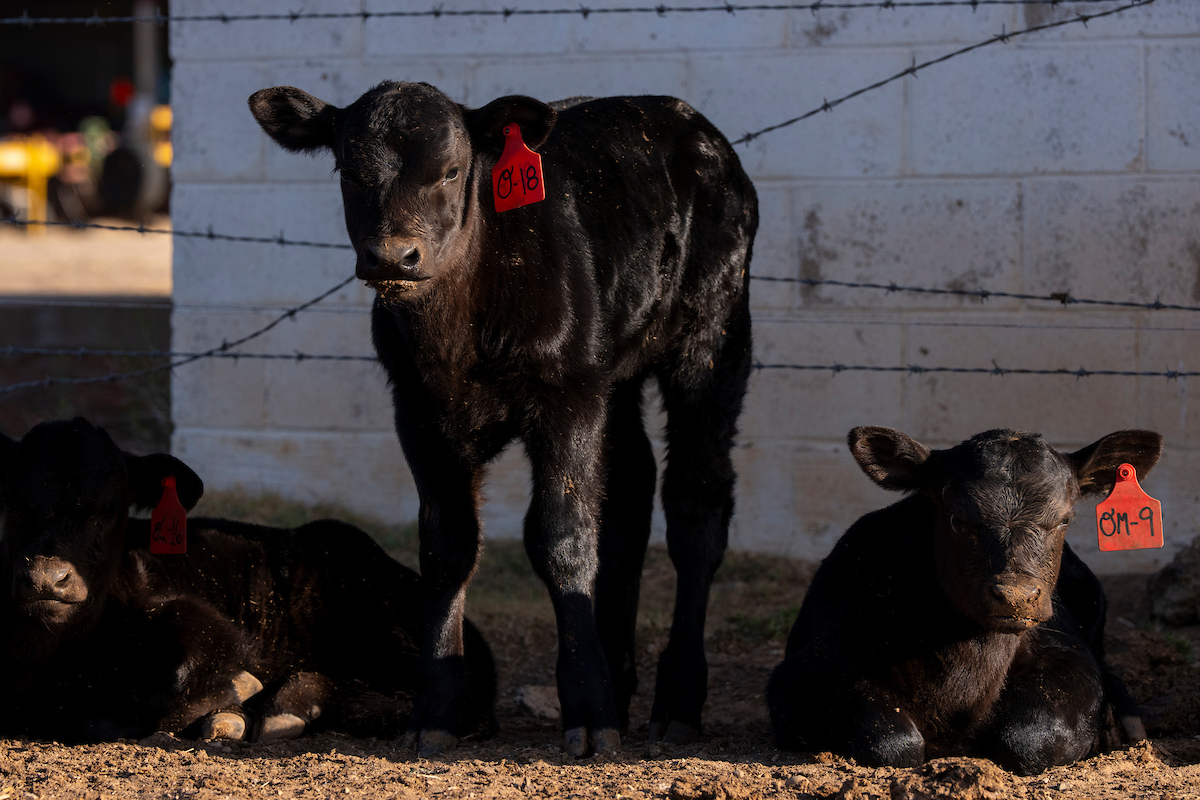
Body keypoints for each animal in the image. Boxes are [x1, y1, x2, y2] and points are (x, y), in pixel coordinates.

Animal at [0, 418, 496, 744]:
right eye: (15, 502)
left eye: (108, 506)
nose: (47, 578)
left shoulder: (204, 624)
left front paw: (232, 702)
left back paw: (289, 704)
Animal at [248, 82, 757, 756]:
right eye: (349, 172)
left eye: (450, 171)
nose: (393, 257)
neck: (460, 335)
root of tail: (687, 120)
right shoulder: (419, 414)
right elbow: (447, 547)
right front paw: (436, 710)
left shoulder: (566, 396)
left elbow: (560, 537)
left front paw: (588, 712)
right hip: (612, 374)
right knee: (628, 493)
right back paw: (621, 680)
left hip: (711, 339)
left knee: (696, 502)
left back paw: (676, 701)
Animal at [767, 426, 1159, 776]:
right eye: (958, 519)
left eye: (1064, 519)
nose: (1016, 596)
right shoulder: (809, 669)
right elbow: (893, 741)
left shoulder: (1069, 656)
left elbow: (1029, 740)